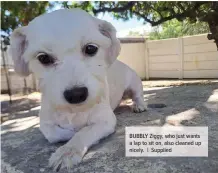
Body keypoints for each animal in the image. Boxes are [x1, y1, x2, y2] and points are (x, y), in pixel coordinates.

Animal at [9, 8, 146, 170]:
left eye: (91, 48)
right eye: (43, 58)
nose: (76, 94)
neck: (73, 111)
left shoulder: (105, 120)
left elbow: (83, 132)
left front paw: (68, 150)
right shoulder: (45, 124)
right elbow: (54, 135)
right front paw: (69, 135)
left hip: (134, 83)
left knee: (138, 95)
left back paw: (139, 105)